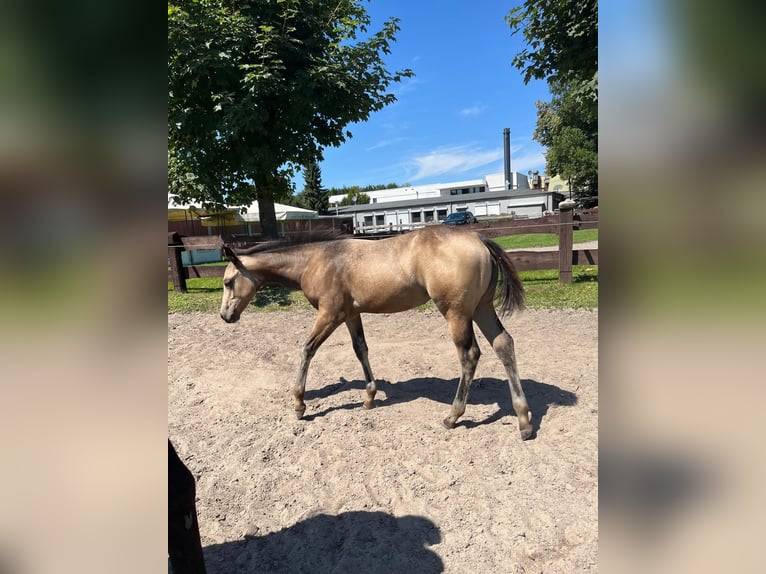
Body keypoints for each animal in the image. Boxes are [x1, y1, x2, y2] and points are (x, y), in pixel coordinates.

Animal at [219, 225, 536, 440]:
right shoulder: (350, 314)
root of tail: (479, 239)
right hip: (482, 308)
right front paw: (369, 397)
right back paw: (523, 419)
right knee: (504, 344)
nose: (225, 316)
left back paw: (453, 416)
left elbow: (307, 349)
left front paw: (299, 404)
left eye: (228, 282)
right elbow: (361, 349)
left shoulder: (329, 314)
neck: (316, 260)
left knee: (469, 354)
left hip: (456, 313)